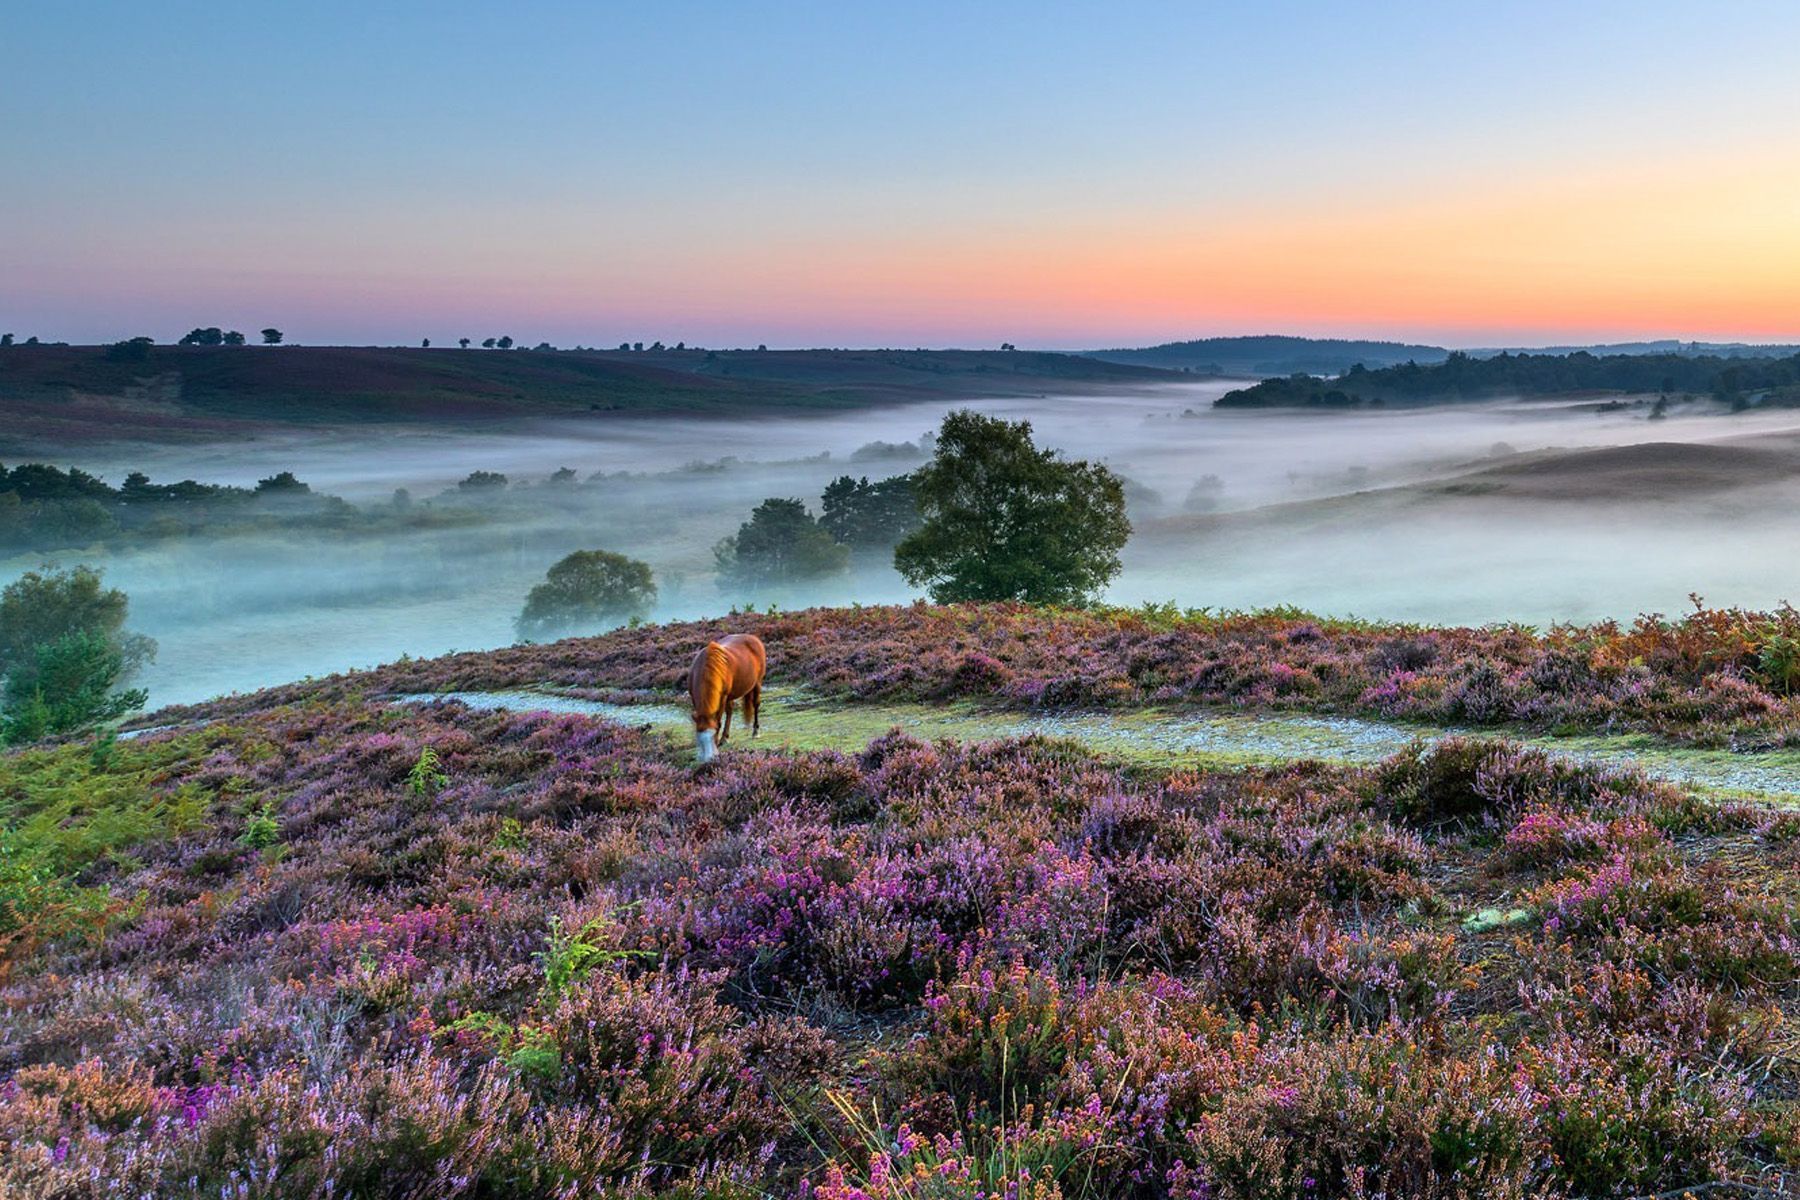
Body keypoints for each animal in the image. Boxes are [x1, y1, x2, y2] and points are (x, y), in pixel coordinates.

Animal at [688, 633, 766, 763]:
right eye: (699, 737)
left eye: (713, 734)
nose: (708, 759)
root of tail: (754, 638)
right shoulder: (693, 697)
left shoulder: (723, 697)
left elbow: (718, 721)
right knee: (730, 712)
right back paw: (725, 737)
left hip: (757, 683)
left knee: (755, 705)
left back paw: (755, 731)